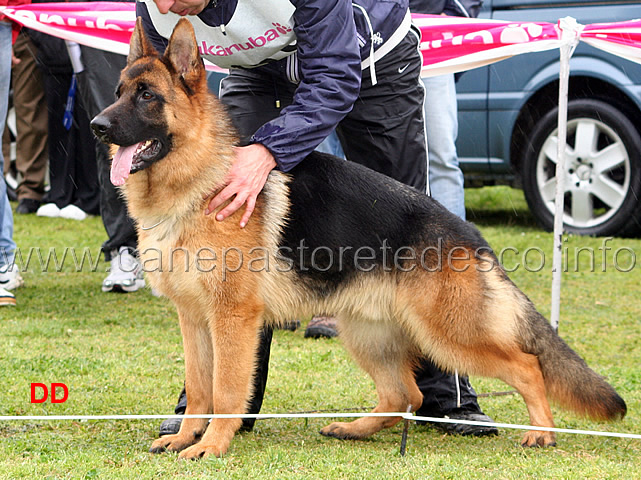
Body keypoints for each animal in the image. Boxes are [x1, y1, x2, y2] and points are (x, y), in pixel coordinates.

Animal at [91, 19, 624, 462]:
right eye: (118, 92)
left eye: (147, 97)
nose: (97, 127)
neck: (201, 179)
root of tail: (468, 234)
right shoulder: (193, 318)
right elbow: (199, 388)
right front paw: (185, 437)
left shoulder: (232, 320)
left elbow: (224, 391)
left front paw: (211, 446)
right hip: (367, 333)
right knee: (404, 395)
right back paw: (354, 428)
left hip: (448, 333)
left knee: (527, 365)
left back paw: (541, 433)